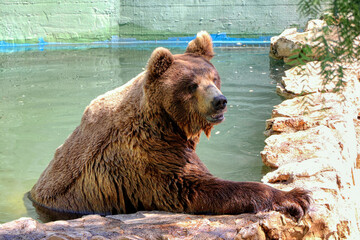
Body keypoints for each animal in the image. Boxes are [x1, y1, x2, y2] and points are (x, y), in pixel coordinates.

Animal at [29, 31, 310, 221]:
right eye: (192, 85)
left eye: (214, 77)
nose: (219, 101)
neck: (169, 123)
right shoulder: (148, 160)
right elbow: (195, 187)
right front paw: (296, 196)